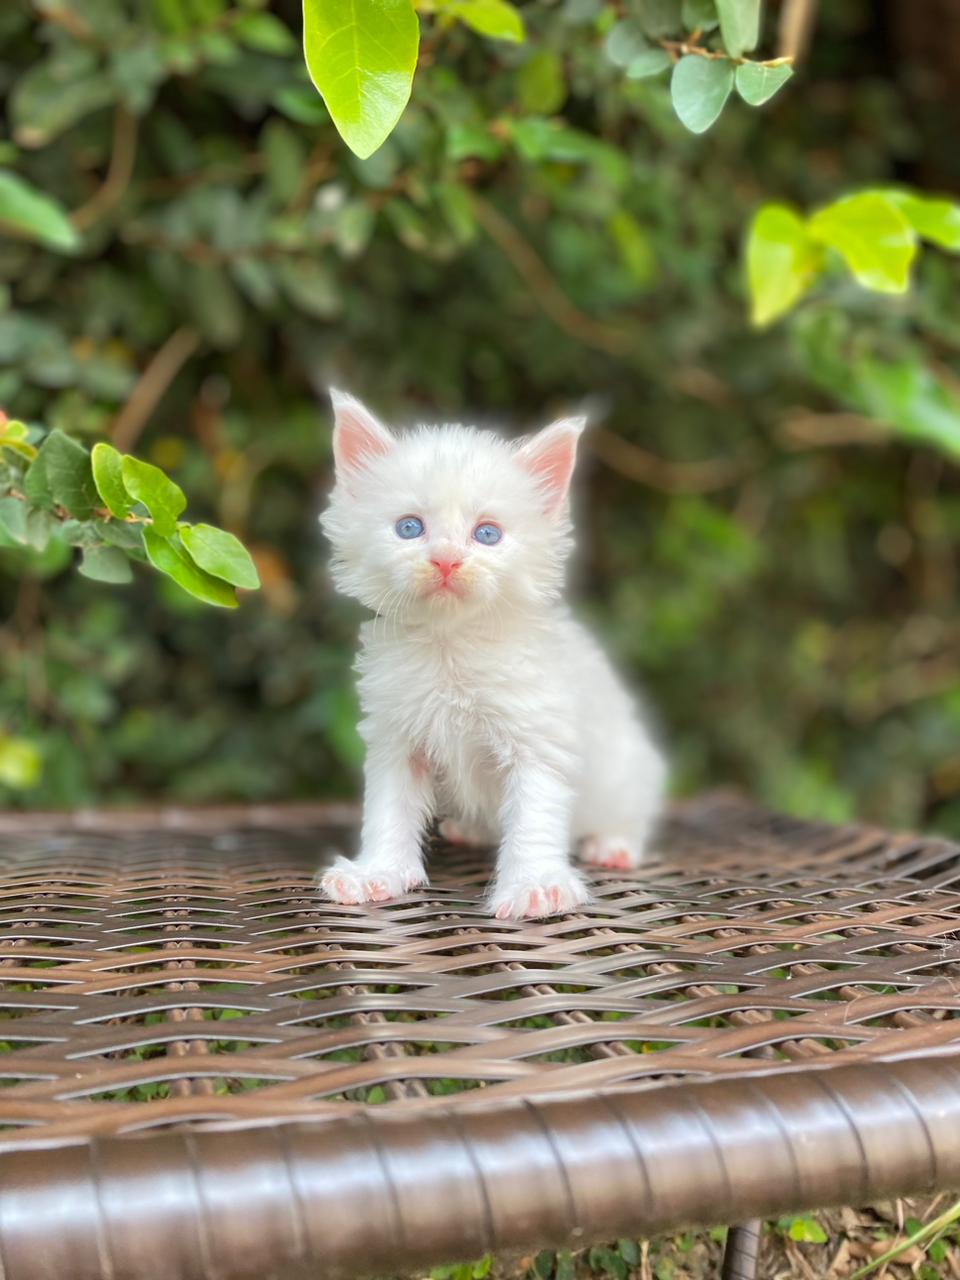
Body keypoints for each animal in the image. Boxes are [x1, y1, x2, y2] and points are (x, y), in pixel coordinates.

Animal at [320, 389, 665, 921]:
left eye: (487, 534)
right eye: (409, 528)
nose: (446, 560)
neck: (451, 647)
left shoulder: (539, 737)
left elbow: (534, 816)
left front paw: (536, 885)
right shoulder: (396, 741)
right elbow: (387, 810)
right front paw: (377, 873)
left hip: (628, 768)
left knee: (629, 812)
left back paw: (613, 844)